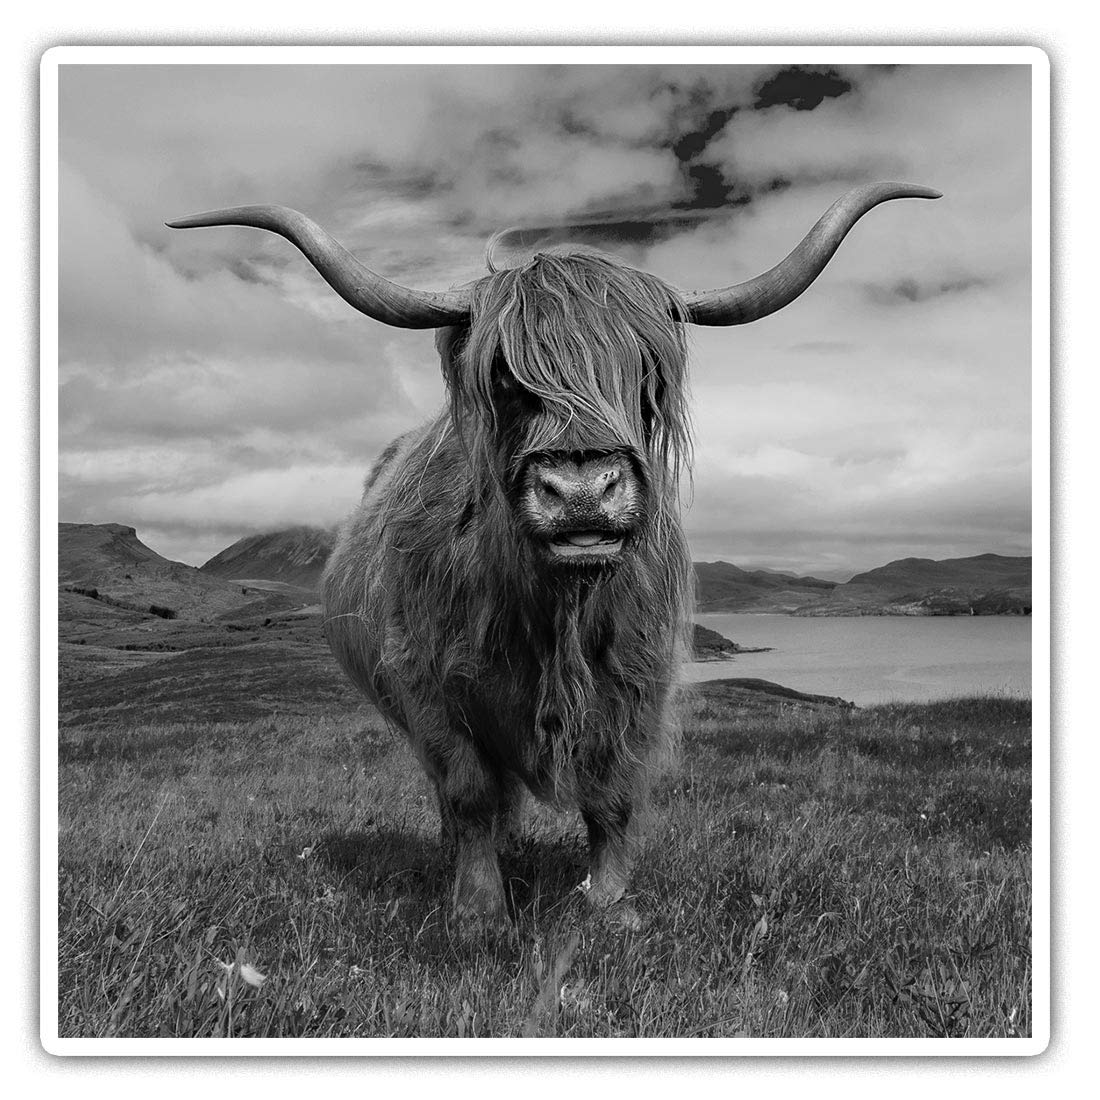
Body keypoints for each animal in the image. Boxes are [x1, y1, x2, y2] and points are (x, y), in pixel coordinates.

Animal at [168, 182, 939, 932]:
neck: (553, 612)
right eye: (507, 378)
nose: (581, 494)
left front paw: (611, 904)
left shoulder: (640, 682)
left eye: (644, 374)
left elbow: (613, 796)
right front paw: (478, 911)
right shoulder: (427, 686)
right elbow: (470, 791)